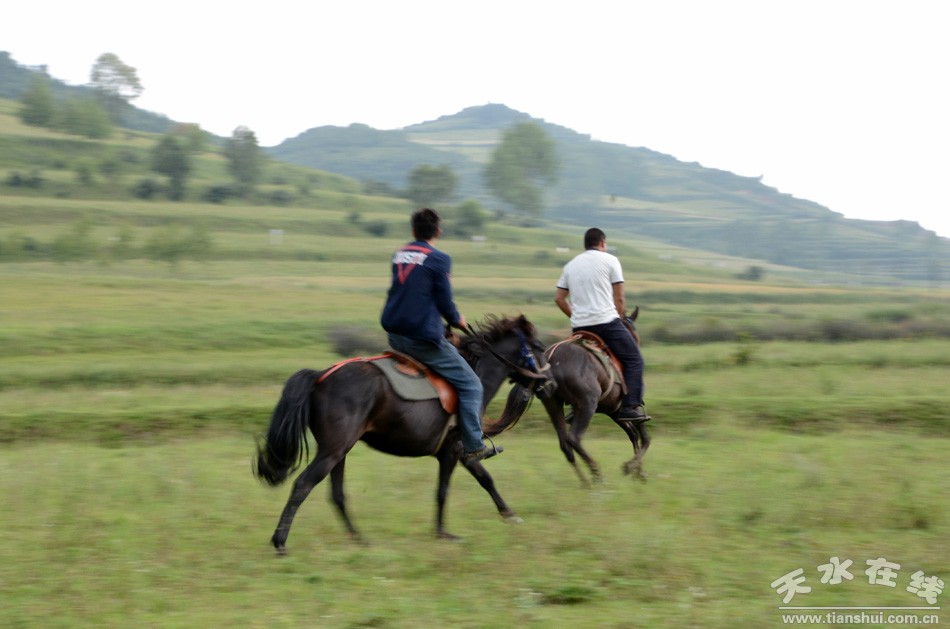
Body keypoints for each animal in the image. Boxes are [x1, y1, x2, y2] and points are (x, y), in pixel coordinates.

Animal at [254, 314, 554, 554]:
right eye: (539, 347)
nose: (550, 384)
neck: (477, 372)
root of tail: (320, 377)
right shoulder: (454, 449)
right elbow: (443, 491)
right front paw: (443, 533)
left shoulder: (462, 451)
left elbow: (486, 479)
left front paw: (509, 514)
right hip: (333, 451)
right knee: (303, 485)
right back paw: (280, 542)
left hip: (338, 451)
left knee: (337, 494)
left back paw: (359, 538)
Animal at [498, 308, 650, 485]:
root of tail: (550, 359)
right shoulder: (632, 408)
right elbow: (644, 437)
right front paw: (633, 469)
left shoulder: (614, 411)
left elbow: (633, 435)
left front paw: (636, 472)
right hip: (587, 405)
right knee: (574, 438)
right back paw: (596, 475)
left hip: (553, 403)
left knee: (565, 444)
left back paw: (585, 482)